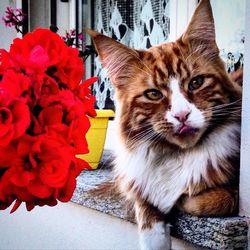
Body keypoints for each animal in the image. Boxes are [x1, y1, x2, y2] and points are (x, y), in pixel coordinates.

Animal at [87, 0, 241, 249]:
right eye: (153, 94)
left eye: (196, 82)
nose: (182, 115)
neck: (176, 155)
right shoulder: (143, 190)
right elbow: (150, 226)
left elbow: (206, 201)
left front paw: (185, 199)